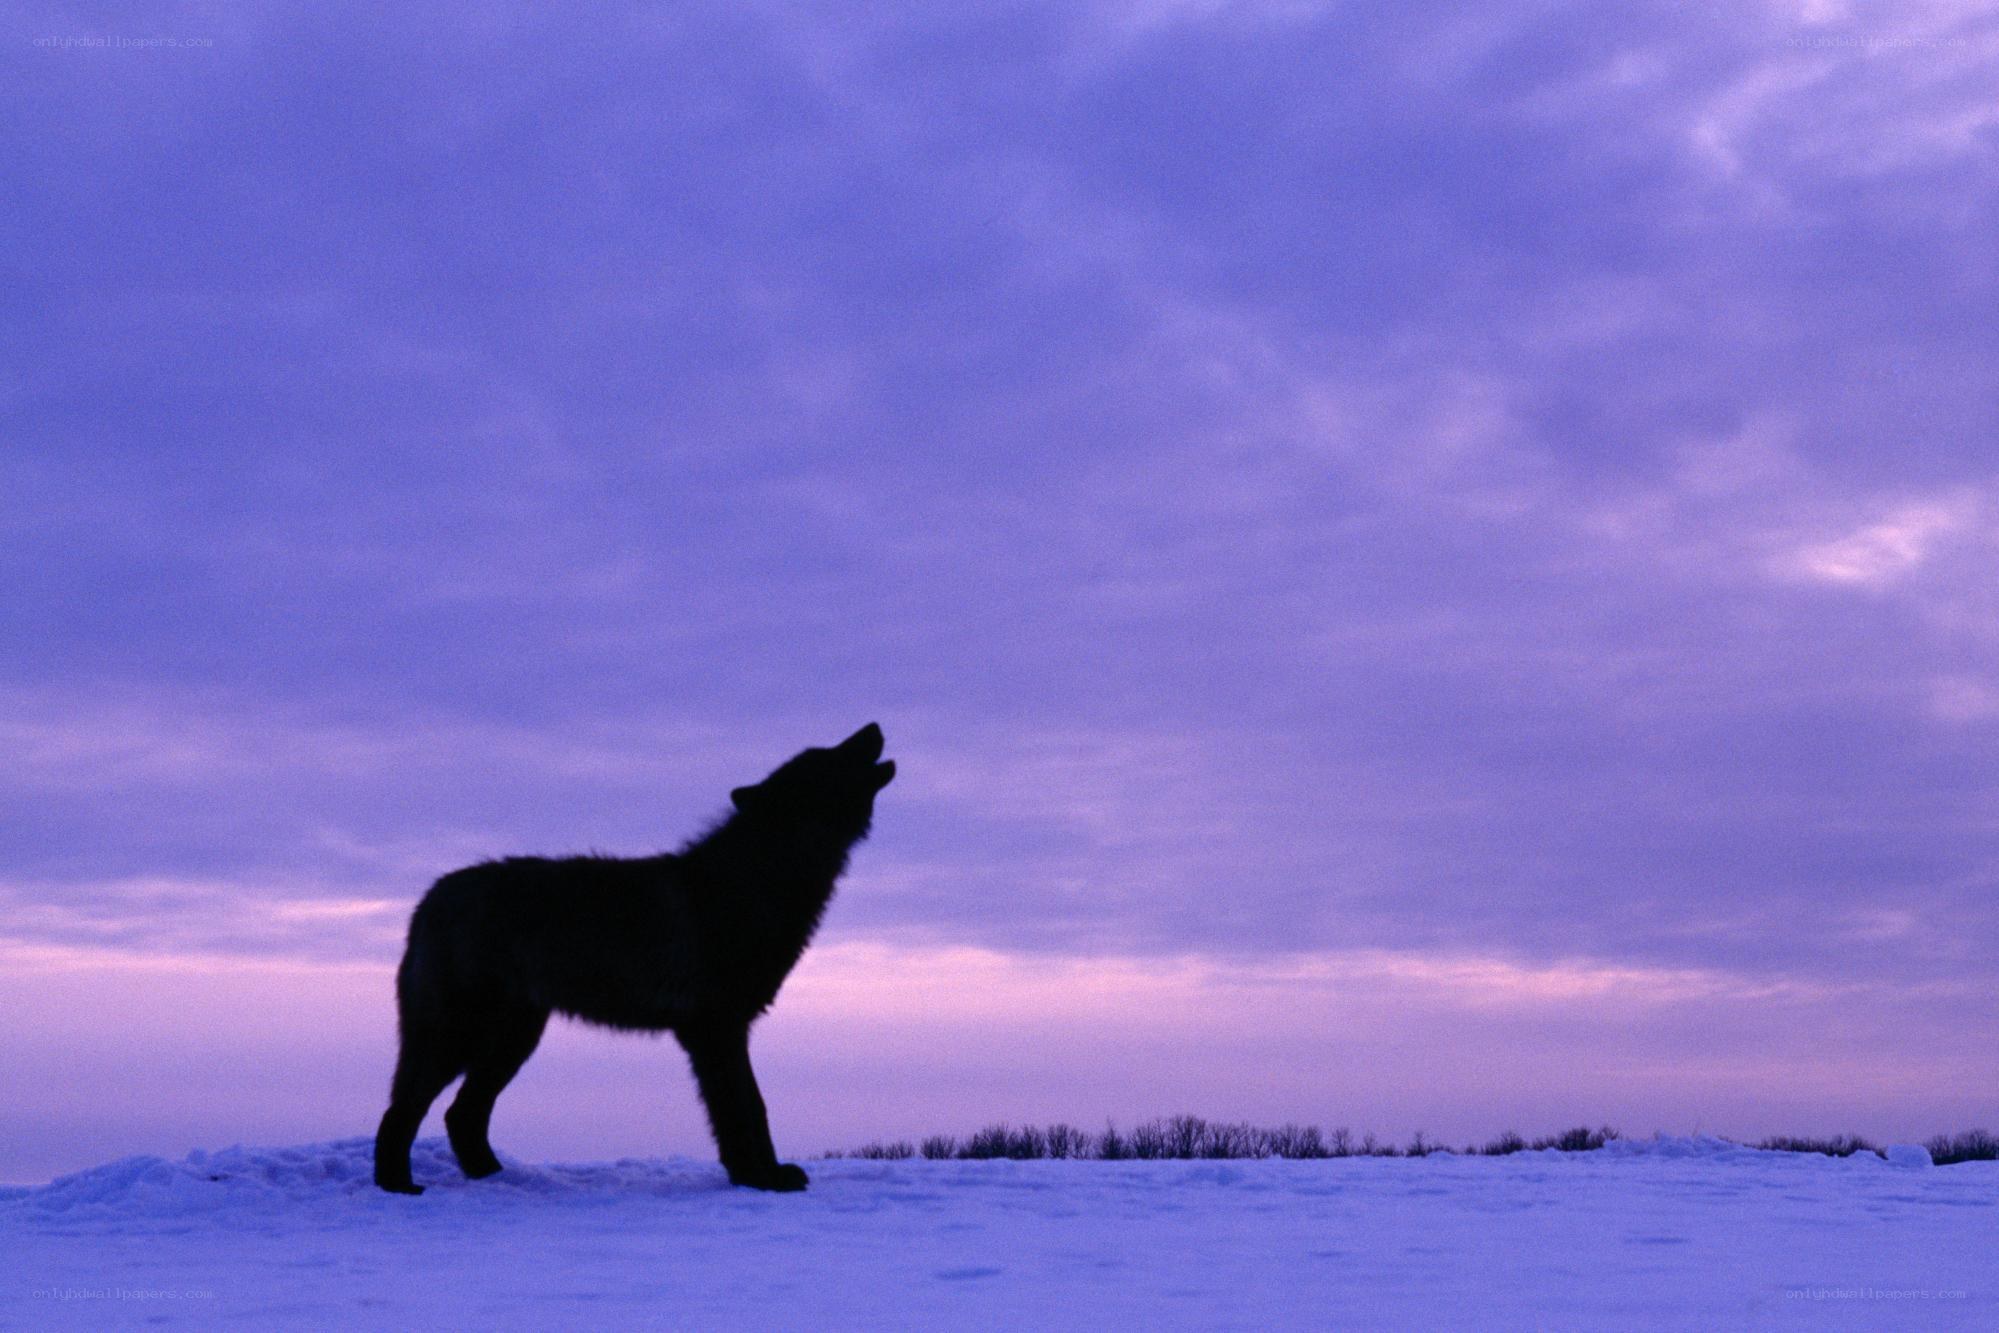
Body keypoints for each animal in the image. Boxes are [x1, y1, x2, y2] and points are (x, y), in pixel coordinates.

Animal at [371, 722, 895, 1195]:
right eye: (828, 756)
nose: (873, 726)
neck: (759, 880)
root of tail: (429, 898)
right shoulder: (716, 1030)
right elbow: (743, 1108)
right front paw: (761, 1178)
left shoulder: (723, 1032)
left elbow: (746, 1110)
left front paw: (757, 1174)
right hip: (461, 1038)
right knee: (403, 1110)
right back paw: (398, 1186)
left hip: (513, 1041)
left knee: (460, 1113)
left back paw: (498, 1179)